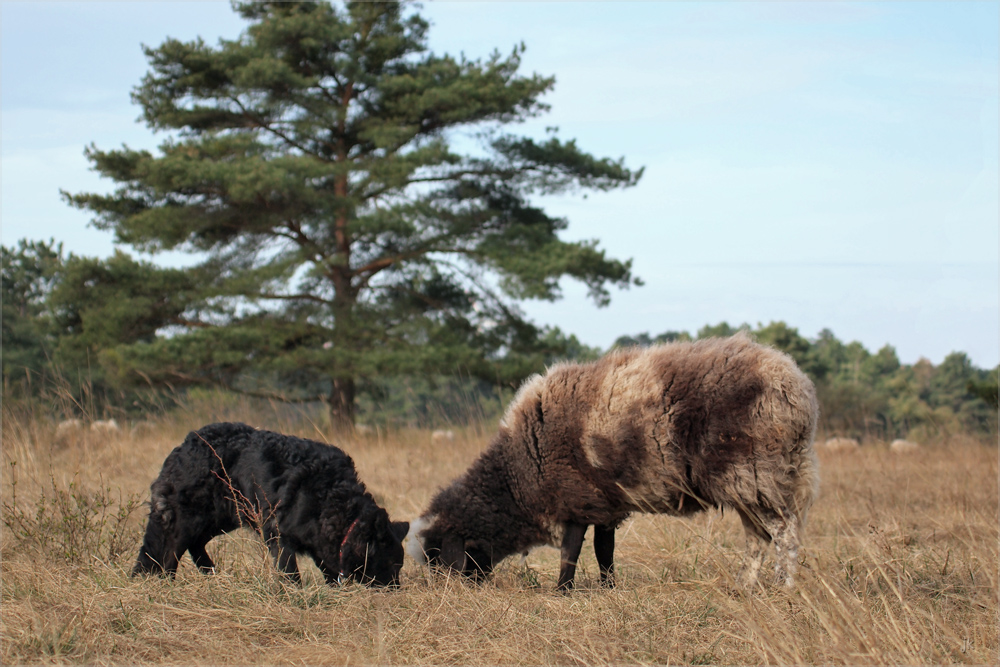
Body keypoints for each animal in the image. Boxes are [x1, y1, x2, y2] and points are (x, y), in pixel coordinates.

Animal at [132, 426, 406, 588]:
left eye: (400, 566)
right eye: (391, 565)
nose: (396, 591)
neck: (333, 498)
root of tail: (184, 447)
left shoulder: (319, 540)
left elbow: (327, 567)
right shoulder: (278, 536)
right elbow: (290, 572)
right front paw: (295, 593)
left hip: (223, 518)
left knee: (195, 545)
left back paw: (211, 573)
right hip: (188, 520)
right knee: (168, 553)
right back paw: (165, 582)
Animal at [406, 334, 820, 588]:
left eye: (438, 556)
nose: (450, 595)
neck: (518, 473)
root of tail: (797, 388)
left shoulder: (574, 496)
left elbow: (571, 552)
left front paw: (562, 591)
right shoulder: (603, 502)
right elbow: (604, 551)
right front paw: (608, 587)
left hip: (755, 472)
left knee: (784, 534)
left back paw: (783, 588)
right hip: (757, 481)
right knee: (758, 538)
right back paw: (744, 587)